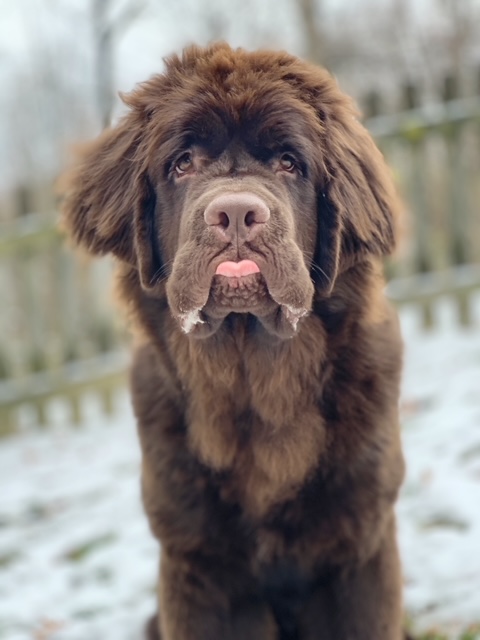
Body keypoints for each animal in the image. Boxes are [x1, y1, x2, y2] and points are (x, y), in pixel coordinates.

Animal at [62, 42, 408, 636]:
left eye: (289, 162)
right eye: (183, 163)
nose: (237, 212)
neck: (253, 382)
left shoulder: (358, 547)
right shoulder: (201, 564)